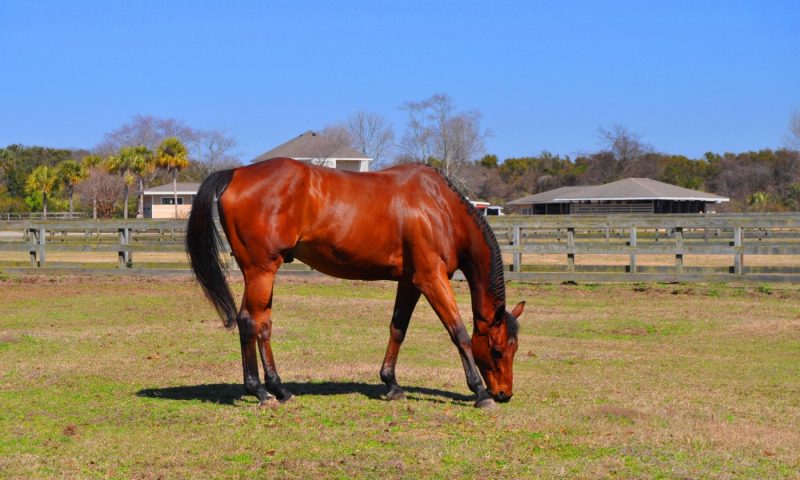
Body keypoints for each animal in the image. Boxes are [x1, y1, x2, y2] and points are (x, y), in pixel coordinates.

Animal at [187, 158, 524, 408]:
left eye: (515, 349)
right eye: (496, 351)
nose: (504, 394)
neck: (440, 207)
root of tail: (237, 173)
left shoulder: (409, 282)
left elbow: (398, 329)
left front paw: (391, 383)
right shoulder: (431, 278)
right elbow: (459, 333)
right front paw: (479, 392)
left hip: (262, 274)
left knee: (262, 325)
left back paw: (279, 389)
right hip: (260, 271)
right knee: (248, 322)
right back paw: (259, 391)